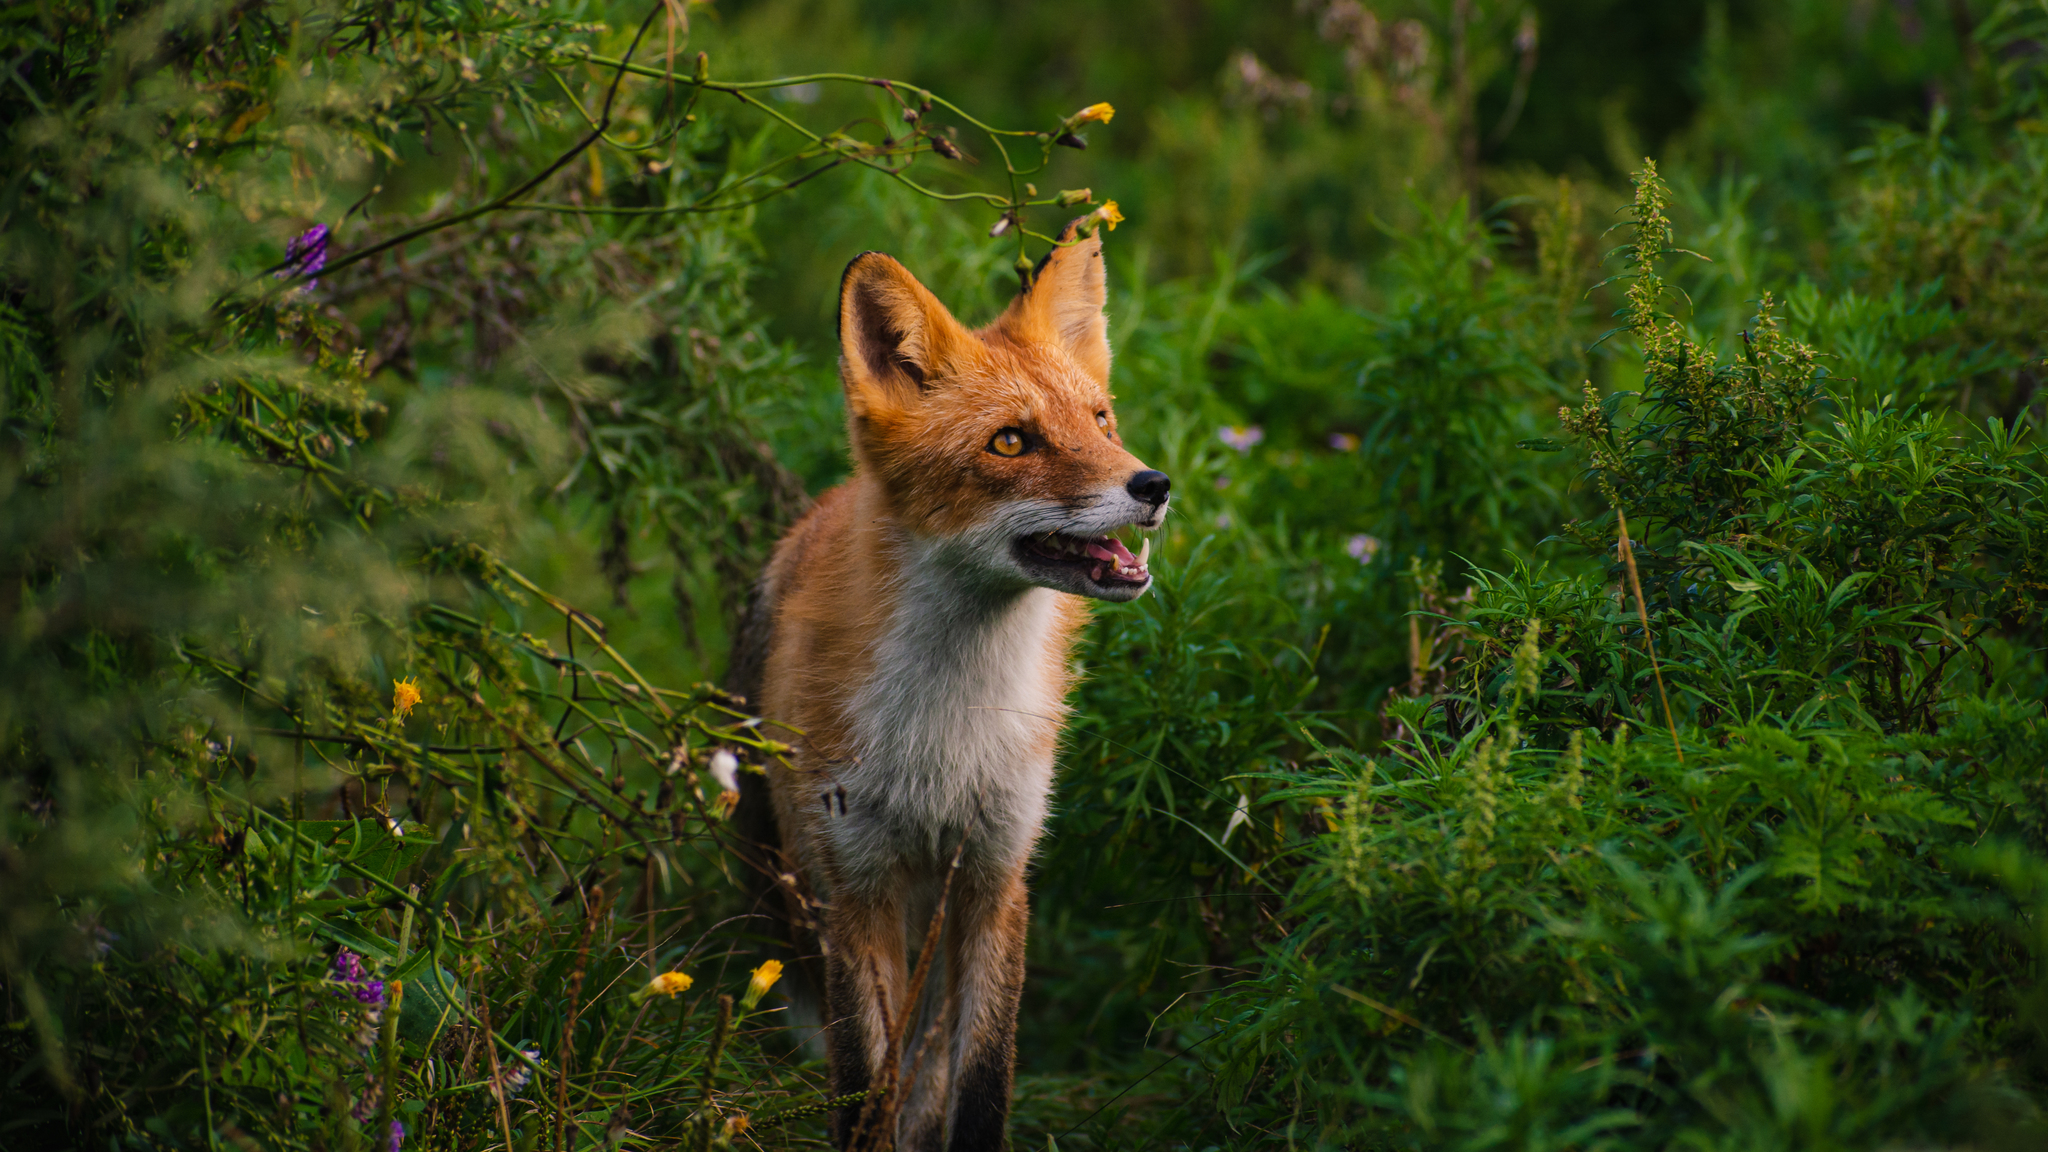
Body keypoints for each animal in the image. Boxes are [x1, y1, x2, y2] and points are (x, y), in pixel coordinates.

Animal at [728, 220, 1169, 1151]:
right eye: (1010, 441)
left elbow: (979, 1085)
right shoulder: (854, 888)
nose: (1153, 485)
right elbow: (865, 1086)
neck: (948, 728)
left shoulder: (996, 877)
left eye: (1100, 419)